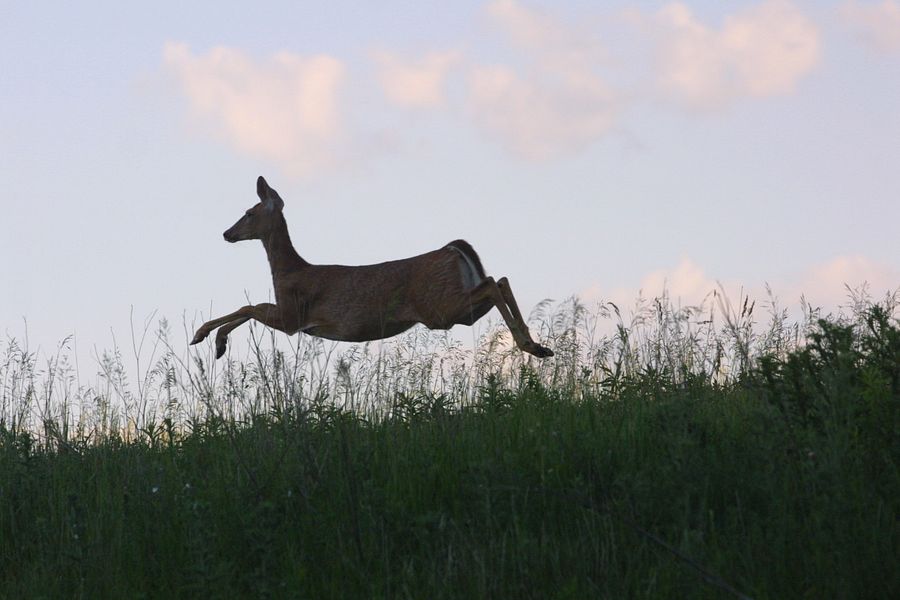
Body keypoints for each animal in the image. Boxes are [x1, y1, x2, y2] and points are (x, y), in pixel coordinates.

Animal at [193, 176, 552, 358]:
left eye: (249, 212)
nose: (227, 233)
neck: (290, 271)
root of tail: (452, 249)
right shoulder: (292, 315)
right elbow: (250, 306)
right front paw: (213, 340)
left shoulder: (294, 315)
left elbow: (249, 306)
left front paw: (209, 338)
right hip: (457, 310)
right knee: (498, 279)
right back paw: (538, 346)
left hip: (439, 308)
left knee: (493, 282)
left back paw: (529, 345)